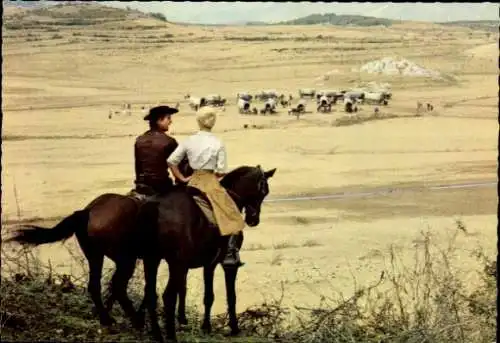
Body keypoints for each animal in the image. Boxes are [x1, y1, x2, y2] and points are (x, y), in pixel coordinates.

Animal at [6, 165, 278, 342]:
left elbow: (179, 291)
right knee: (121, 286)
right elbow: (219, 295)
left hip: (99, 256)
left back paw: (110, 319)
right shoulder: (218, 263)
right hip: (127, 260)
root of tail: (89, 210)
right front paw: (225, 327)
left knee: (98, 286)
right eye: (263, 190)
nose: (253, 219)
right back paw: (136, 323)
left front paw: (180, 320)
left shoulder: (178, 262)